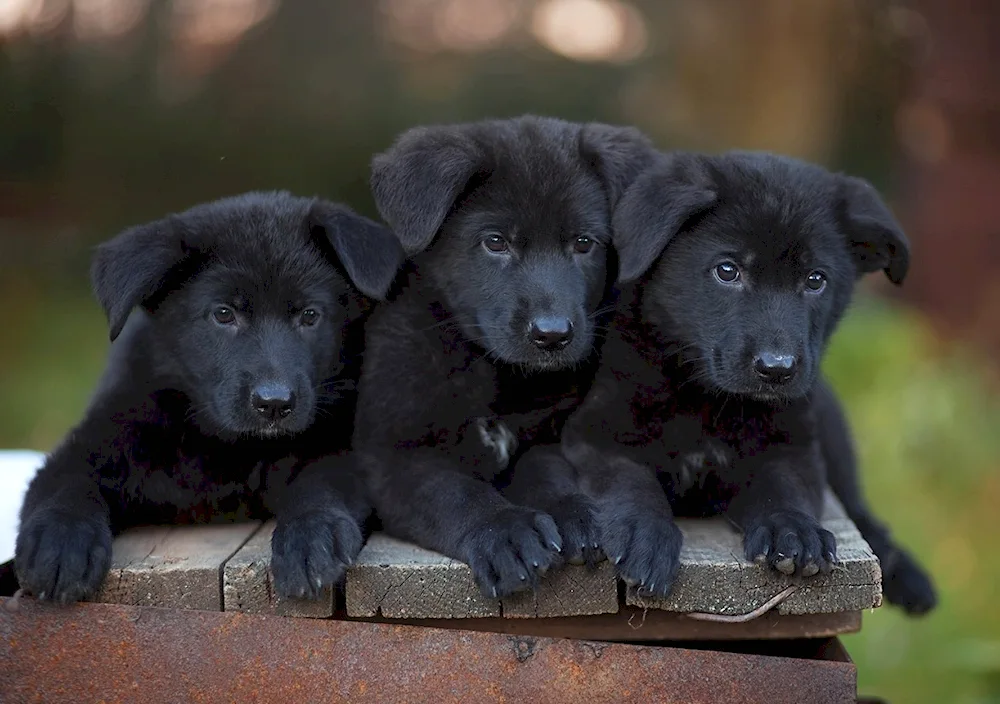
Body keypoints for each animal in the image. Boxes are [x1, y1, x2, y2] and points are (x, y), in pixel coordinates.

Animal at [15, 190, 402, 604]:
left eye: (310, 315)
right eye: (223, 314)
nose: (274, 403)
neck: (232, 448)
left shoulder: (342, 446)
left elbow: (323, 480)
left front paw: (311, 537)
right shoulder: (101, 436)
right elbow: (64, 482)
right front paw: (59, 543)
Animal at [356, 117, 652, 600]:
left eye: (584, 243)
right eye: (495, 242)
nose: (552, 335)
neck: (492, 373)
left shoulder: (546, 434)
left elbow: (546, 471)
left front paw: (572, 513)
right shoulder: (393, 457)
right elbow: (455, 492)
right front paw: (505, 531)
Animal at [516, 153, 936, 612]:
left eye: (815, 280)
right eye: (727, 271)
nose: (777, 369)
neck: (707, 400)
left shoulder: (792, 447)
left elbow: (784, 488)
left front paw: (794, 529)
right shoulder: (596, 436)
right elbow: (631, 482)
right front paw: (647, 537)